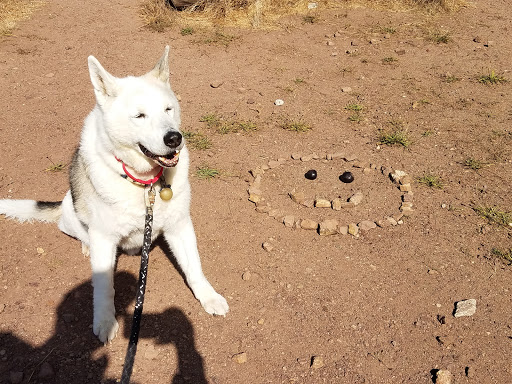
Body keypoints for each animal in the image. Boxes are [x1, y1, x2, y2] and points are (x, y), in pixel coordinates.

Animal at [0, 46, 228, 344]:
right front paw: (106, 321)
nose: (174, 138)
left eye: (168, 109)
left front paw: (208, 297)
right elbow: (104, 288)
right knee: (71, 228)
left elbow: (194, 268)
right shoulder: (105, 239)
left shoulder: (179, 226)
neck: (145, 183)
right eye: (139, 116)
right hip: (72, 213)